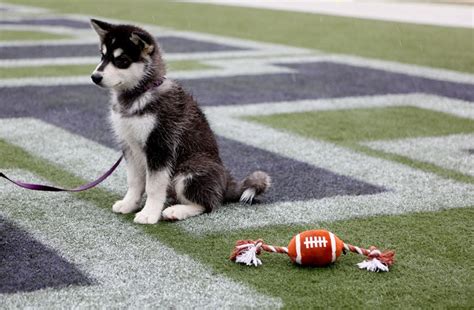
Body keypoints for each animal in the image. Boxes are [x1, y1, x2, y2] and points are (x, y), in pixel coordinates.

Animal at [89, 19, 270, 224]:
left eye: (122, 61)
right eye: (102, 56)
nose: (95, 77)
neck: (141, 93)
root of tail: (226, 184)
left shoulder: (160, 146)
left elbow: (153, 186)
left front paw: (149, 213)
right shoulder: (129, 145)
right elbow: (135, 181)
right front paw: (129, 204)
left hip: (188, 172)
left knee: (209, 205)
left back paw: (176, 211)